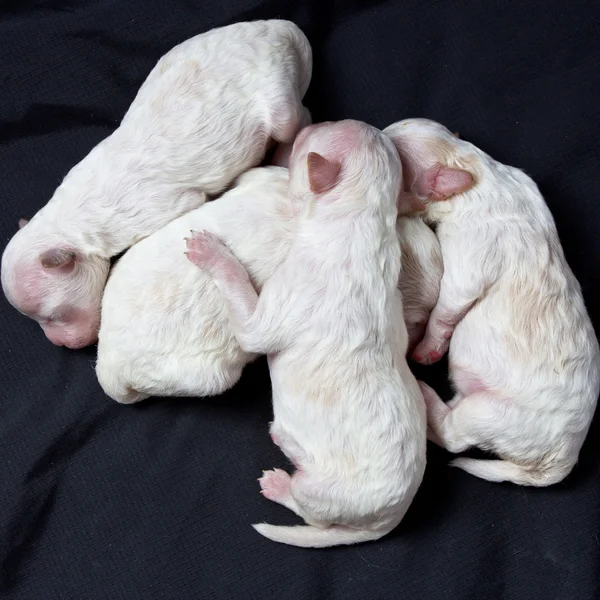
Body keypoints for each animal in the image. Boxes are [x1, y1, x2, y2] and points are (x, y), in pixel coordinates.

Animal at [3, 19, 314, 346]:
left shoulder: (161, 207)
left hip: (279, 95)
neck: (70, 222)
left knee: (300, 116)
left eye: (52, 315)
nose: (60, 344)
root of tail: (282, 30)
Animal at [185, 120, 424, 548]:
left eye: (316, 133)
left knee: (309, 510)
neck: (363, 222)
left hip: (322, 494)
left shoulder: (271, 311)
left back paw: (280, 484)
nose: (306, 124)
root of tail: (391, 519)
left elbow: (246, 309)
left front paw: (211, 250)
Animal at [384, 118, 600, 488]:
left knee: (454, 437)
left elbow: (444, 312)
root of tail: (562, 460)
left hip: (491, 413)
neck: (474, 168)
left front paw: (426, 350)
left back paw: (425, 395)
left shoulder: (468, 264)